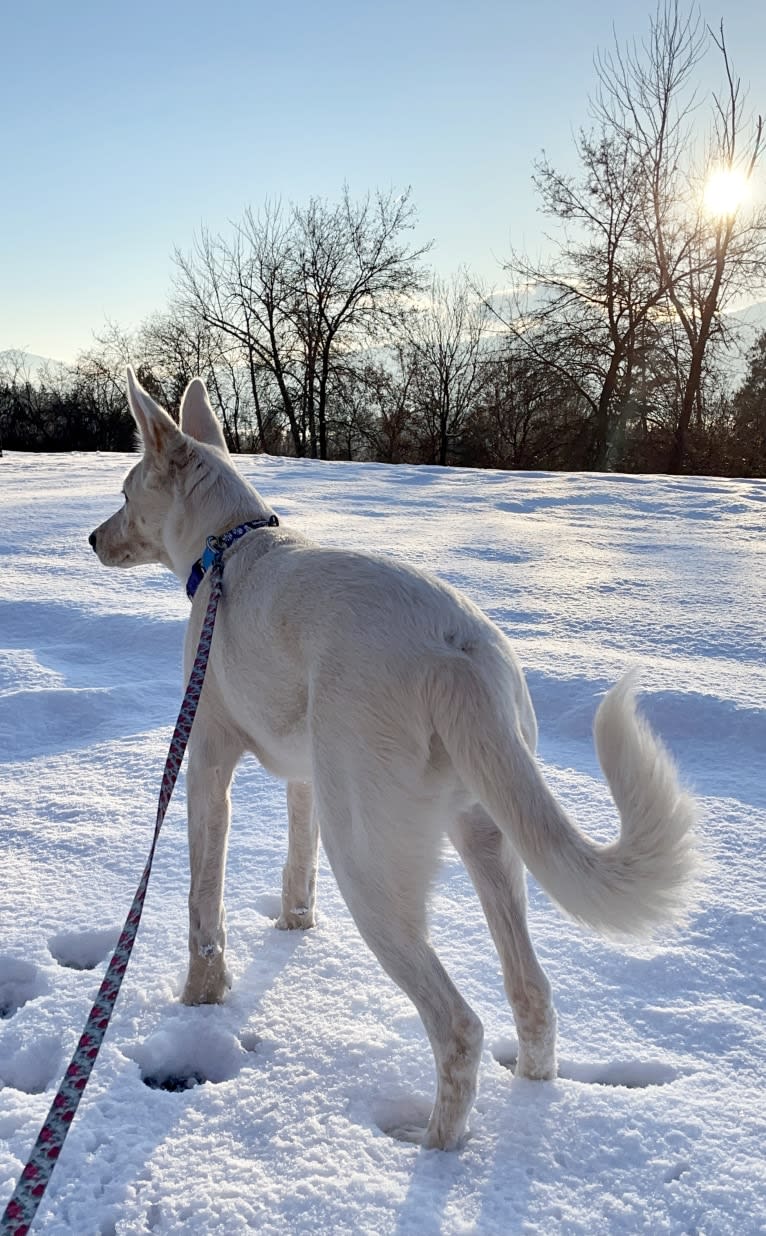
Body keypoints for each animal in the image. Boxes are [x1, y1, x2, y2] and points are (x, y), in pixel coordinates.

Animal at [89, 365, 701, 1147]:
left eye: (125, 494)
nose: (91, 539)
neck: (230, 546)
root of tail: (456, 655)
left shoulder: (205, 760)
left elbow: (204, 904)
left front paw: (202, 998)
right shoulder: (306, 777)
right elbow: (296, 865)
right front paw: (293, 926)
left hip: (370, 862)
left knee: (460, 1027)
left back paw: (433, 1147)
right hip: (487, 836)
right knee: (531, 994)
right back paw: (528, 1101)